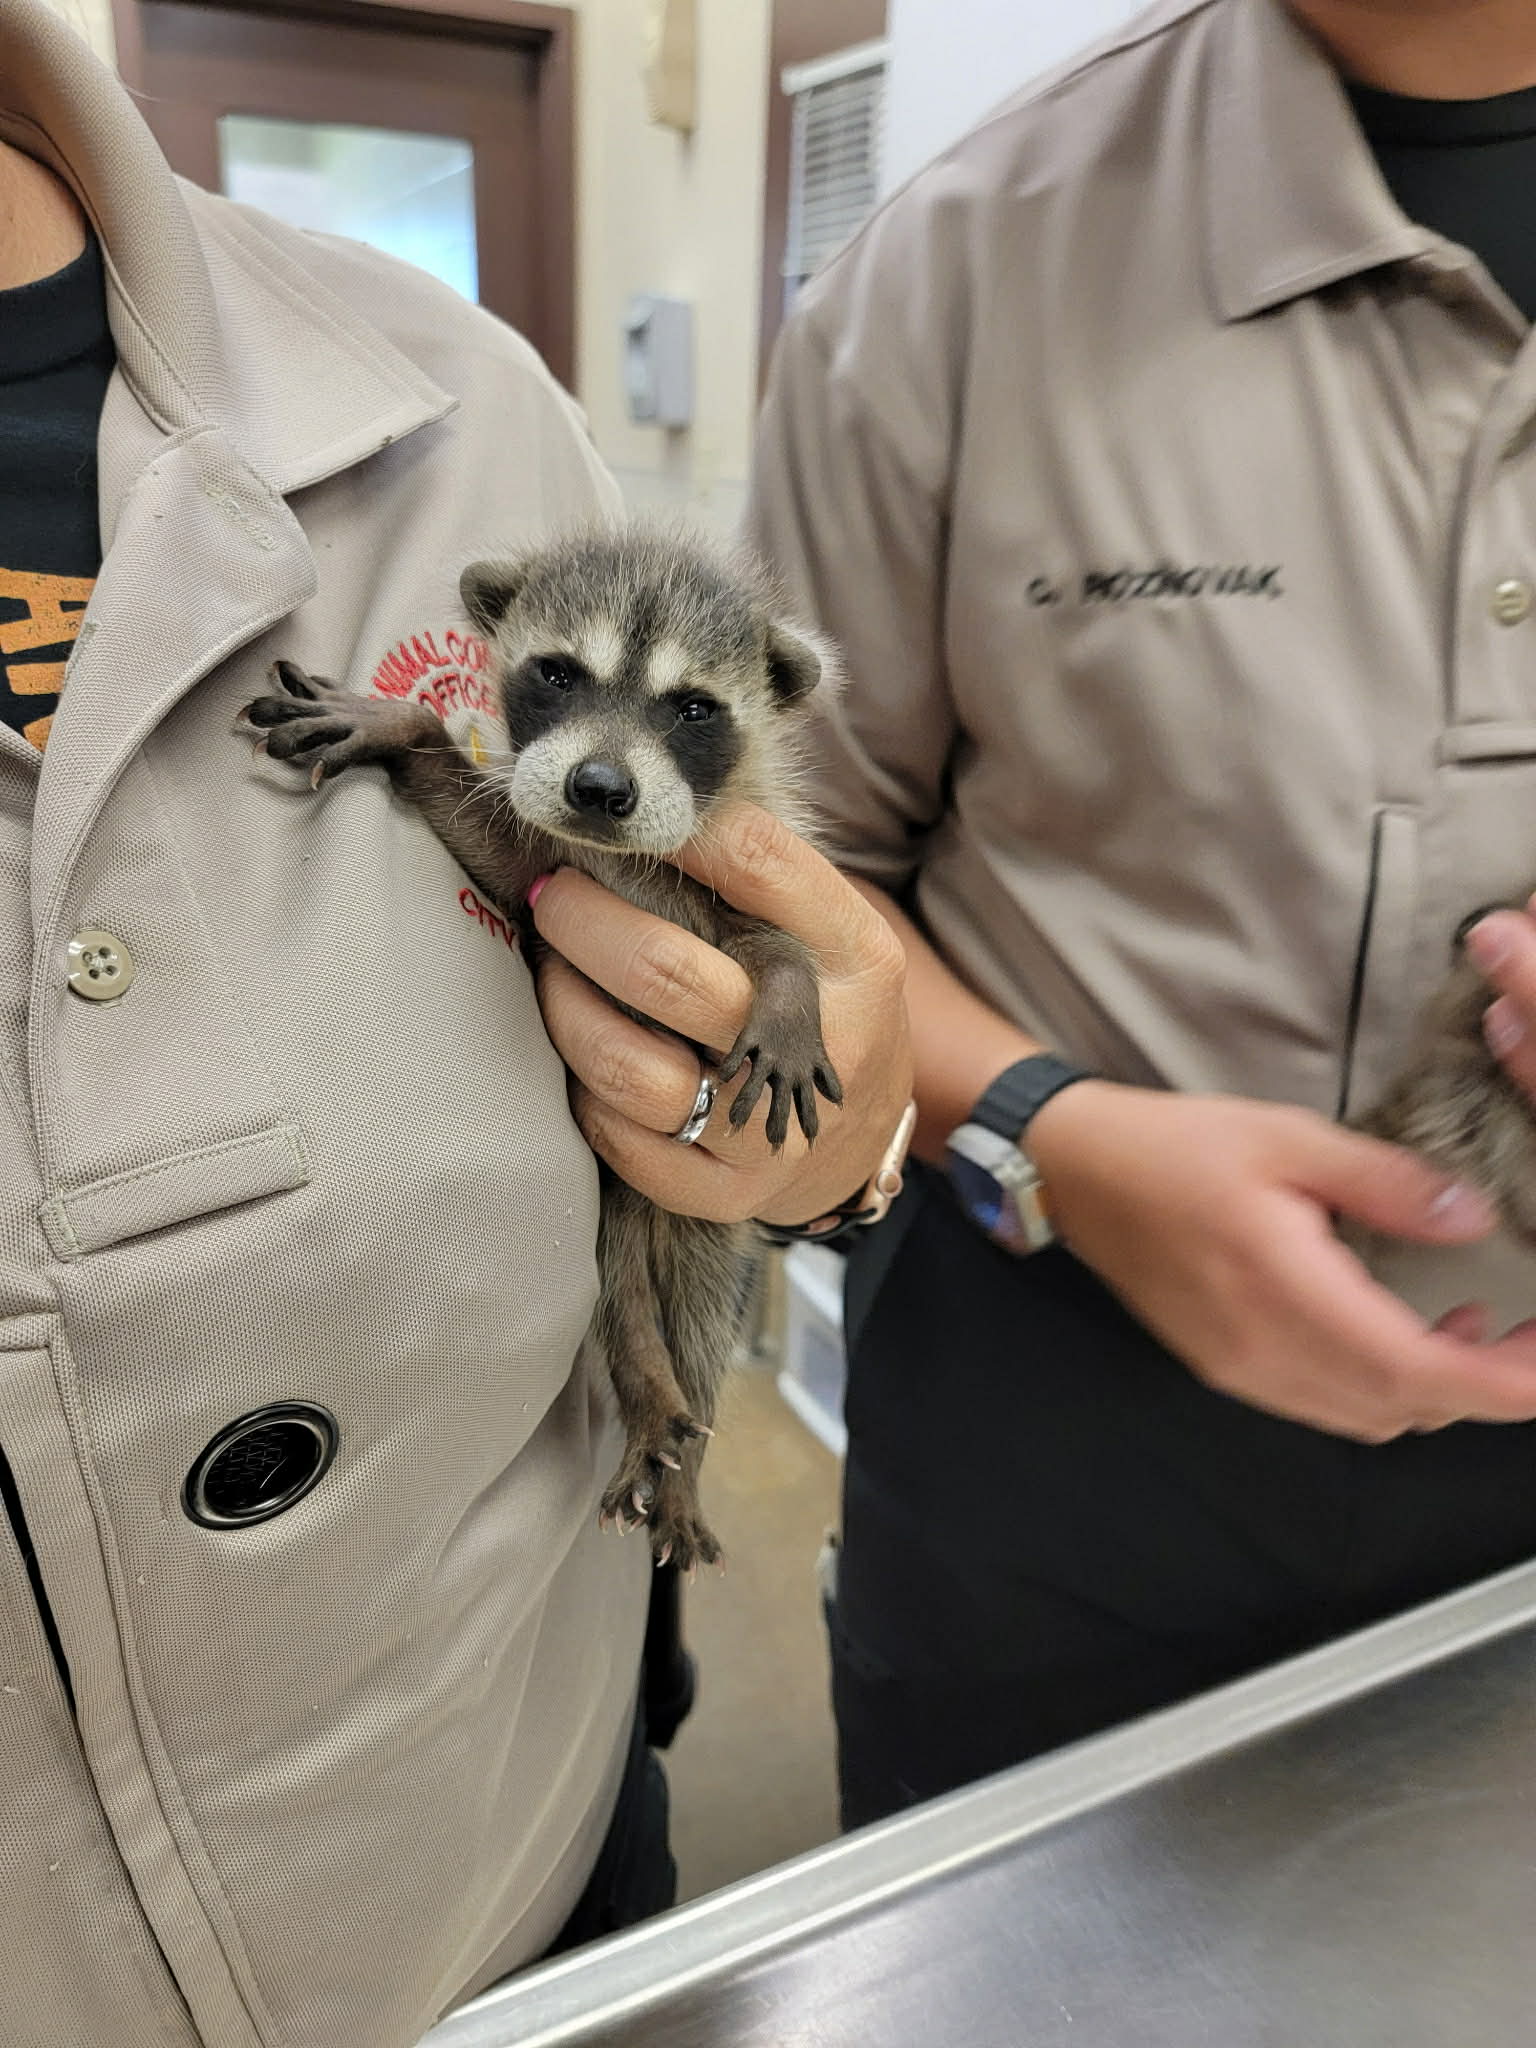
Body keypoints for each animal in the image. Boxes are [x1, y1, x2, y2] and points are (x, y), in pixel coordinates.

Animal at [241, 528, 843, 1570]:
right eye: (558, 673)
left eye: (694, 707)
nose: (598, 789)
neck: (618, 855)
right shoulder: (550, 866)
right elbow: (494, 845)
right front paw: (406, 727)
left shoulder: (733, 874)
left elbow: (778, 940)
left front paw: (791, 995)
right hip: (609, 1208)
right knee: (620, 1303)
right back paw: (649, 1399)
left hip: (704, 1228)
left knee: (696, 1321)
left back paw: (684, 1457)